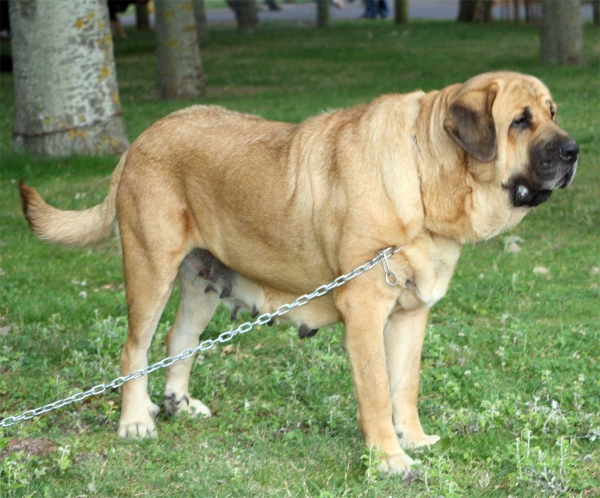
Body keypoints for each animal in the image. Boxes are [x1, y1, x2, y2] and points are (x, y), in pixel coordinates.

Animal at [21, 71, 580, 474]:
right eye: (520, 121)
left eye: (552, 114)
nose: (574, 150)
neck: (428, 178)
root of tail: (140, 141)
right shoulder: (365, 311)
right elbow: (377, 392)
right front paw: (390, 459)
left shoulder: (410, 314)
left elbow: (405, 387)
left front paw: (415, 440)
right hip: (149, 270)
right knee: (133, 350)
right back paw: (136, 422)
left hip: (203, 283)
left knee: (178, 343)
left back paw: (180, 404)